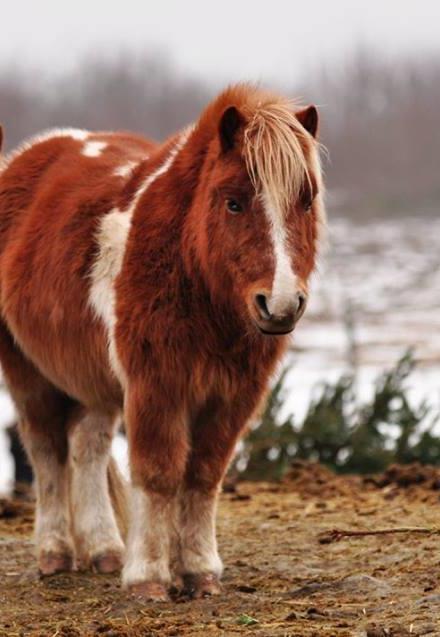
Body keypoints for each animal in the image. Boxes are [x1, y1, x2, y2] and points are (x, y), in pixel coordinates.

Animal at [0, 85, 324, 600]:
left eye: (306, 201)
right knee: (47, 450)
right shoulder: (157, 386)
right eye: (233, 203)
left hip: (93, 384)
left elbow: (205, 474)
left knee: (87, 450)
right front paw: (148, 577)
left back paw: (105, 551)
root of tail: (26, 157)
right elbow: (157, 474)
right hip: (28, 372)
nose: (280, 304)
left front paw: (200, 572)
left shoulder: (232, 396)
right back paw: (55, 553)